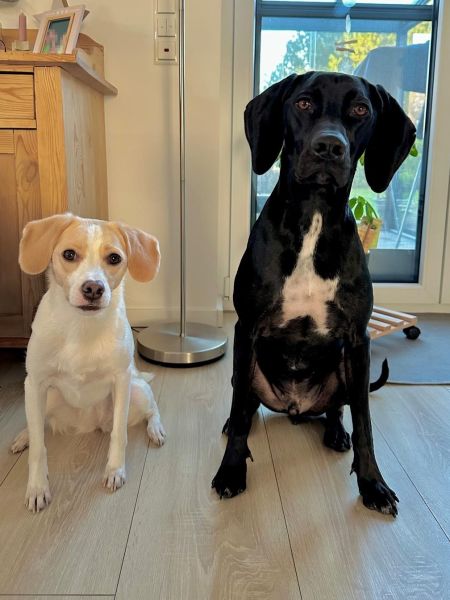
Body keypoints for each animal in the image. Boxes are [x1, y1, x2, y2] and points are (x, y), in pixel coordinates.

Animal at [11, 214, 166, 512]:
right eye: (69, 254)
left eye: (114, 258)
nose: (93, 288)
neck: (81, 327)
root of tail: (89, 424)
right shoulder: (35, 383)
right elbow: (38, 446)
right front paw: (37, 487)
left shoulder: (122, 380)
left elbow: (119, 434)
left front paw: (115, 470)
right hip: (47, 396)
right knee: (38, 424)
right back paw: (23, 436)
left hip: (137, 391)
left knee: (152, 409)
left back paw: (155, 429)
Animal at [212, 72, 416, 516]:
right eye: (303, 103)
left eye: (360, 109)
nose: (329, 147)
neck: (314, 217)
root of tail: (295, 407)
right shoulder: (246, 329)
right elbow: (239, 413)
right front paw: (231, 470)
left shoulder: (358, 341)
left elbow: (365, 422)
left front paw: (373, 484)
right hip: (245, 369)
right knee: (244, 402)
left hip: (344, 370)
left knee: (338, 409)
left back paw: (335, 432)